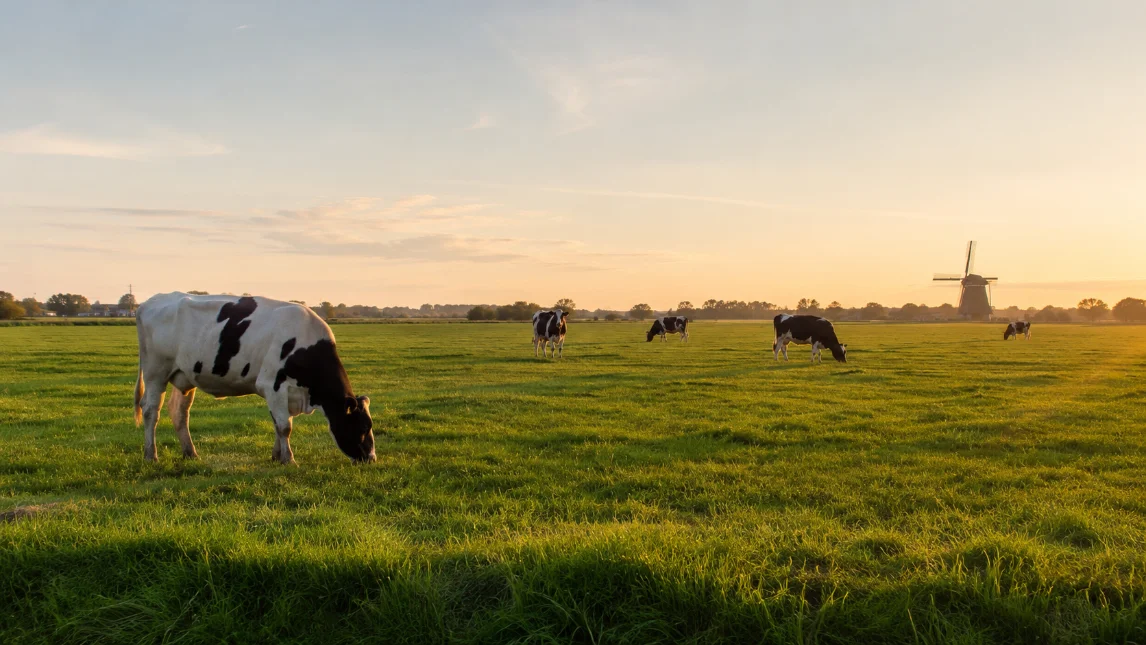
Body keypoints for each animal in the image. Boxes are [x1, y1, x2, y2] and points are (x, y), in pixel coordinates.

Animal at [133, 292, 376, 464]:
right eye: (363, 427)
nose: (371, 459)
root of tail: (149, 302)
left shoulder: (284, 392)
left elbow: (279, 424)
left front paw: (277, 457)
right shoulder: (273, 384)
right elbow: (284, 426)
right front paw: (289, 460)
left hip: (183, 375)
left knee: (179, 412)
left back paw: (190, 453)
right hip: (156, 372)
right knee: (150, 411)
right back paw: (151, 455)